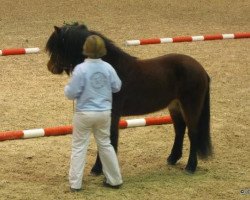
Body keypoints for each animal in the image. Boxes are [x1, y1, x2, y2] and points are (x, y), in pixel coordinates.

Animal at [46, 22, 212, 174]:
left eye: (58, 47)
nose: (50, 67)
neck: (111, 69)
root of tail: (201, 69)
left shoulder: (112, 115)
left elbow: (109, 139)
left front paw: (99, 168)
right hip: (175, 106)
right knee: (179, 129)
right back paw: (172, 158)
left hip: (190, 106)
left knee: (193, 132)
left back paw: (191, 166)